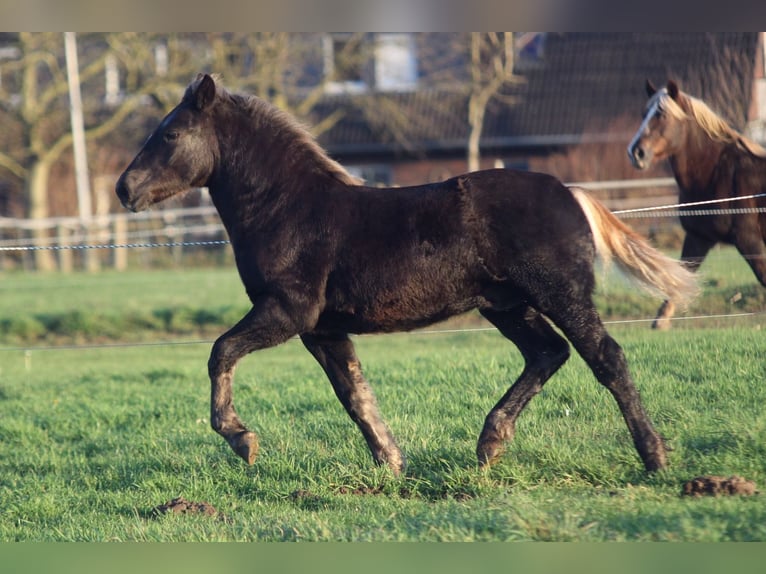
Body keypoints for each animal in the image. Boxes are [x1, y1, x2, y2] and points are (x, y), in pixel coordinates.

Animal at [116, 74, 698, 475]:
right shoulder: (322, 328)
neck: (290, 207)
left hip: (560, 295)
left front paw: (240, 438)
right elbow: (354, 393)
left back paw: (654, 458)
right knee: (548, 353)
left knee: (605, 357)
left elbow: (220, 351)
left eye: (171, 133)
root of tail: (570, 191)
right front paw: (393, 465)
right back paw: (489, 444)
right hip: (507, 305)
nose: (125, 189)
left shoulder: (288, 311)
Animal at [628, 79, 766, 329]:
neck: (717, 174)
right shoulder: (698, 238)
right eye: (644, 113)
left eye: (662, 114)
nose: (636, 152)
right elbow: (680, 276)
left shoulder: (749, 240)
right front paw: (661, 321)